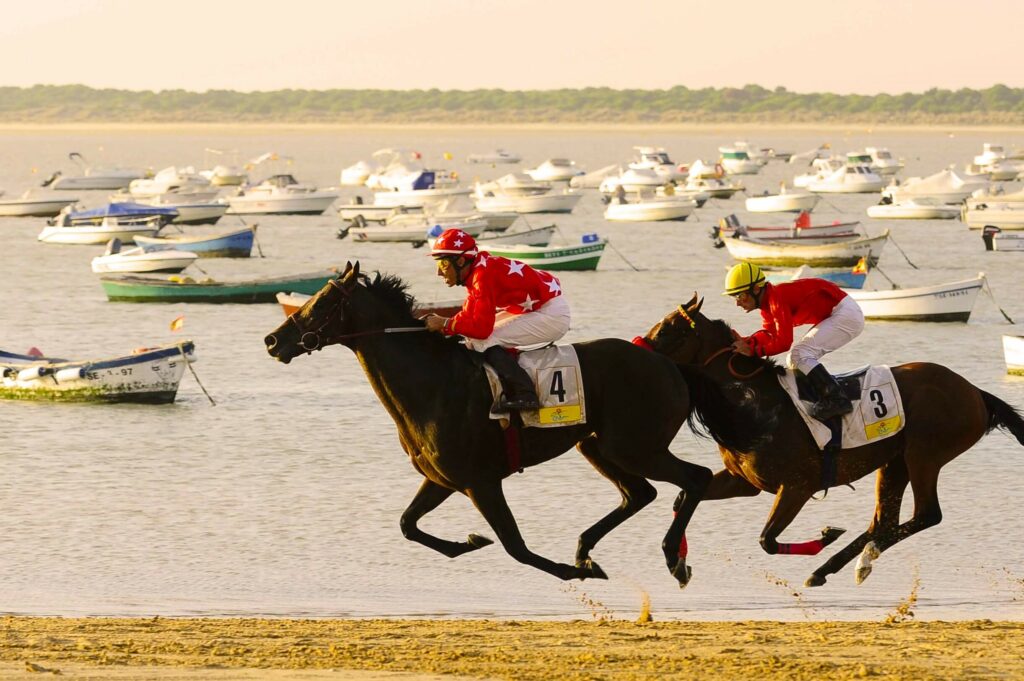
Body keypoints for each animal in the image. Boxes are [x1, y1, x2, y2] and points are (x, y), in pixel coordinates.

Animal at [268, 264, 765, 585]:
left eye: (324, 302)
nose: (273, 340)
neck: (431, 382)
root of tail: (669, 363)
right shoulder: (444, 478)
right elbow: (408, 524)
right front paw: (468, 542)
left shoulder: (482, 481)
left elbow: (515, 547)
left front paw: (566, 571)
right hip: (598, 445)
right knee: (639, 493)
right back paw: (586, 549)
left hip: (635, 445)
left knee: (693, 478)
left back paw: (670, 559)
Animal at [638, 294, 1024, 585]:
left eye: (669, 328)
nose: (637, 349)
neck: (755, 405)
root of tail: (974, 392)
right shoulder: (743, 481)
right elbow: (682, 500)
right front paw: (679, 562)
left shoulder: (797, 486)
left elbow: (767, 541)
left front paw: (826, 535)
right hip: (894, 461)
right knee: (883, 522)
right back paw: (841, 566)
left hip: (924, 454)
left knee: (927, 514)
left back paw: (858, 558)